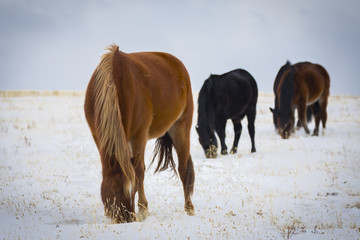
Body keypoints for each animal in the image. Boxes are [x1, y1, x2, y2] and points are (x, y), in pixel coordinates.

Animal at [83, 44, 195, 222]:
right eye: (114, 192)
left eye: (133, 189)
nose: (127, 219)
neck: (115, 84)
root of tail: (177, 64)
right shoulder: (97, 135)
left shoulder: (139, 137)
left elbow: (139, 172)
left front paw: (143, 210)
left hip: (181, 127)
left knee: (184, 169)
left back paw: (189, 208)